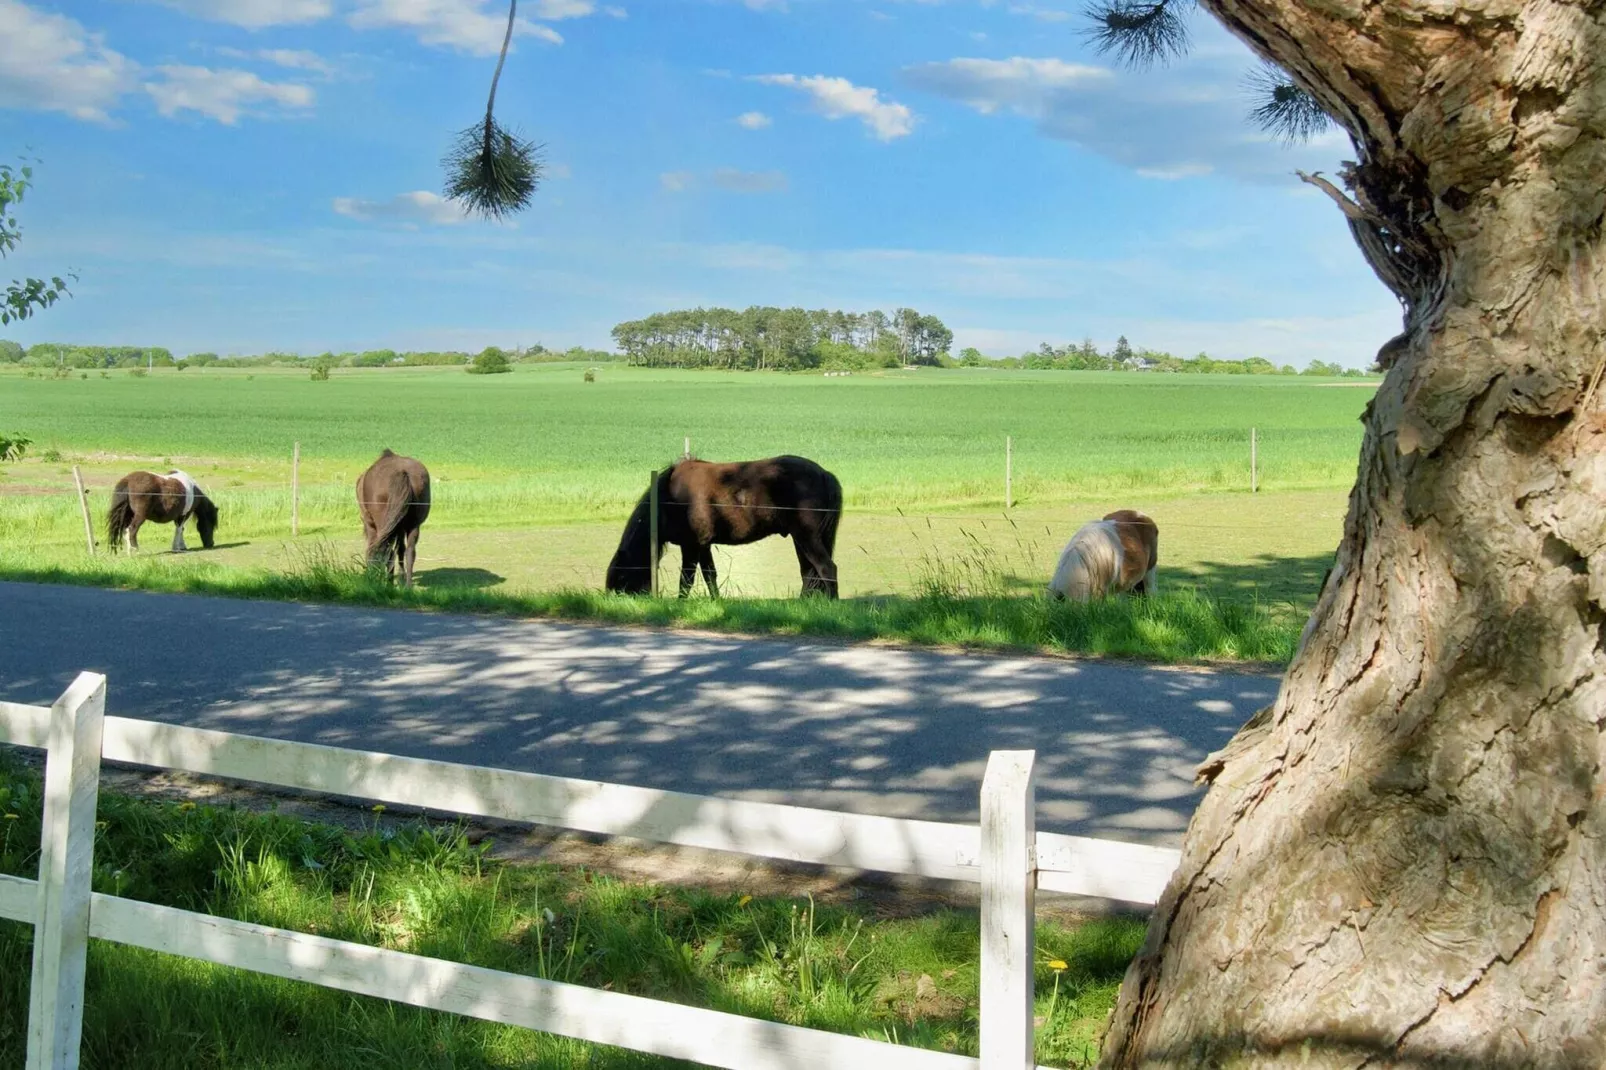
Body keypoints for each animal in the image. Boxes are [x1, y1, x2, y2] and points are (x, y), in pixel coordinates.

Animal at [358, 446, 433, 588]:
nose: (371, 580)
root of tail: (401, 472)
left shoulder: (371, 526)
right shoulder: (400, 527)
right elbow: (401, 549)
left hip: (382, 525)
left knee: (388, 551)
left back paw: (391, 583)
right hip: (413, 524)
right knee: (410, 552)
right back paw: (408, 586)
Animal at [607, 453, 847, 594]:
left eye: (621, 576)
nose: (615, 600)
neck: (670, 497)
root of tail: (824, 473)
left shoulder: (691, 545)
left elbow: (687, 579)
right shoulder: (703, 545)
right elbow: (710, 575)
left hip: (807, 537)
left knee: (826, 568)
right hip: (800, 539)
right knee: (808, 573)